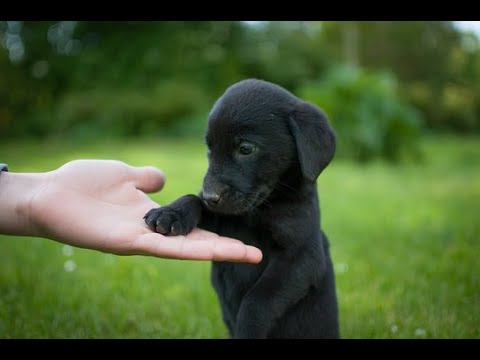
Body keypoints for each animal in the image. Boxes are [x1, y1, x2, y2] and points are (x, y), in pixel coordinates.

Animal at [144, 78, 340, 338]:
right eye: (209, 149)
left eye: (246, 149)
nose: (210, 196)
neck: (258, 211)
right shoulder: (223, 219)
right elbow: (193, 200)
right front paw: (171, 212)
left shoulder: (301, 256)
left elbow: (257, 300)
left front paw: (248, 328)